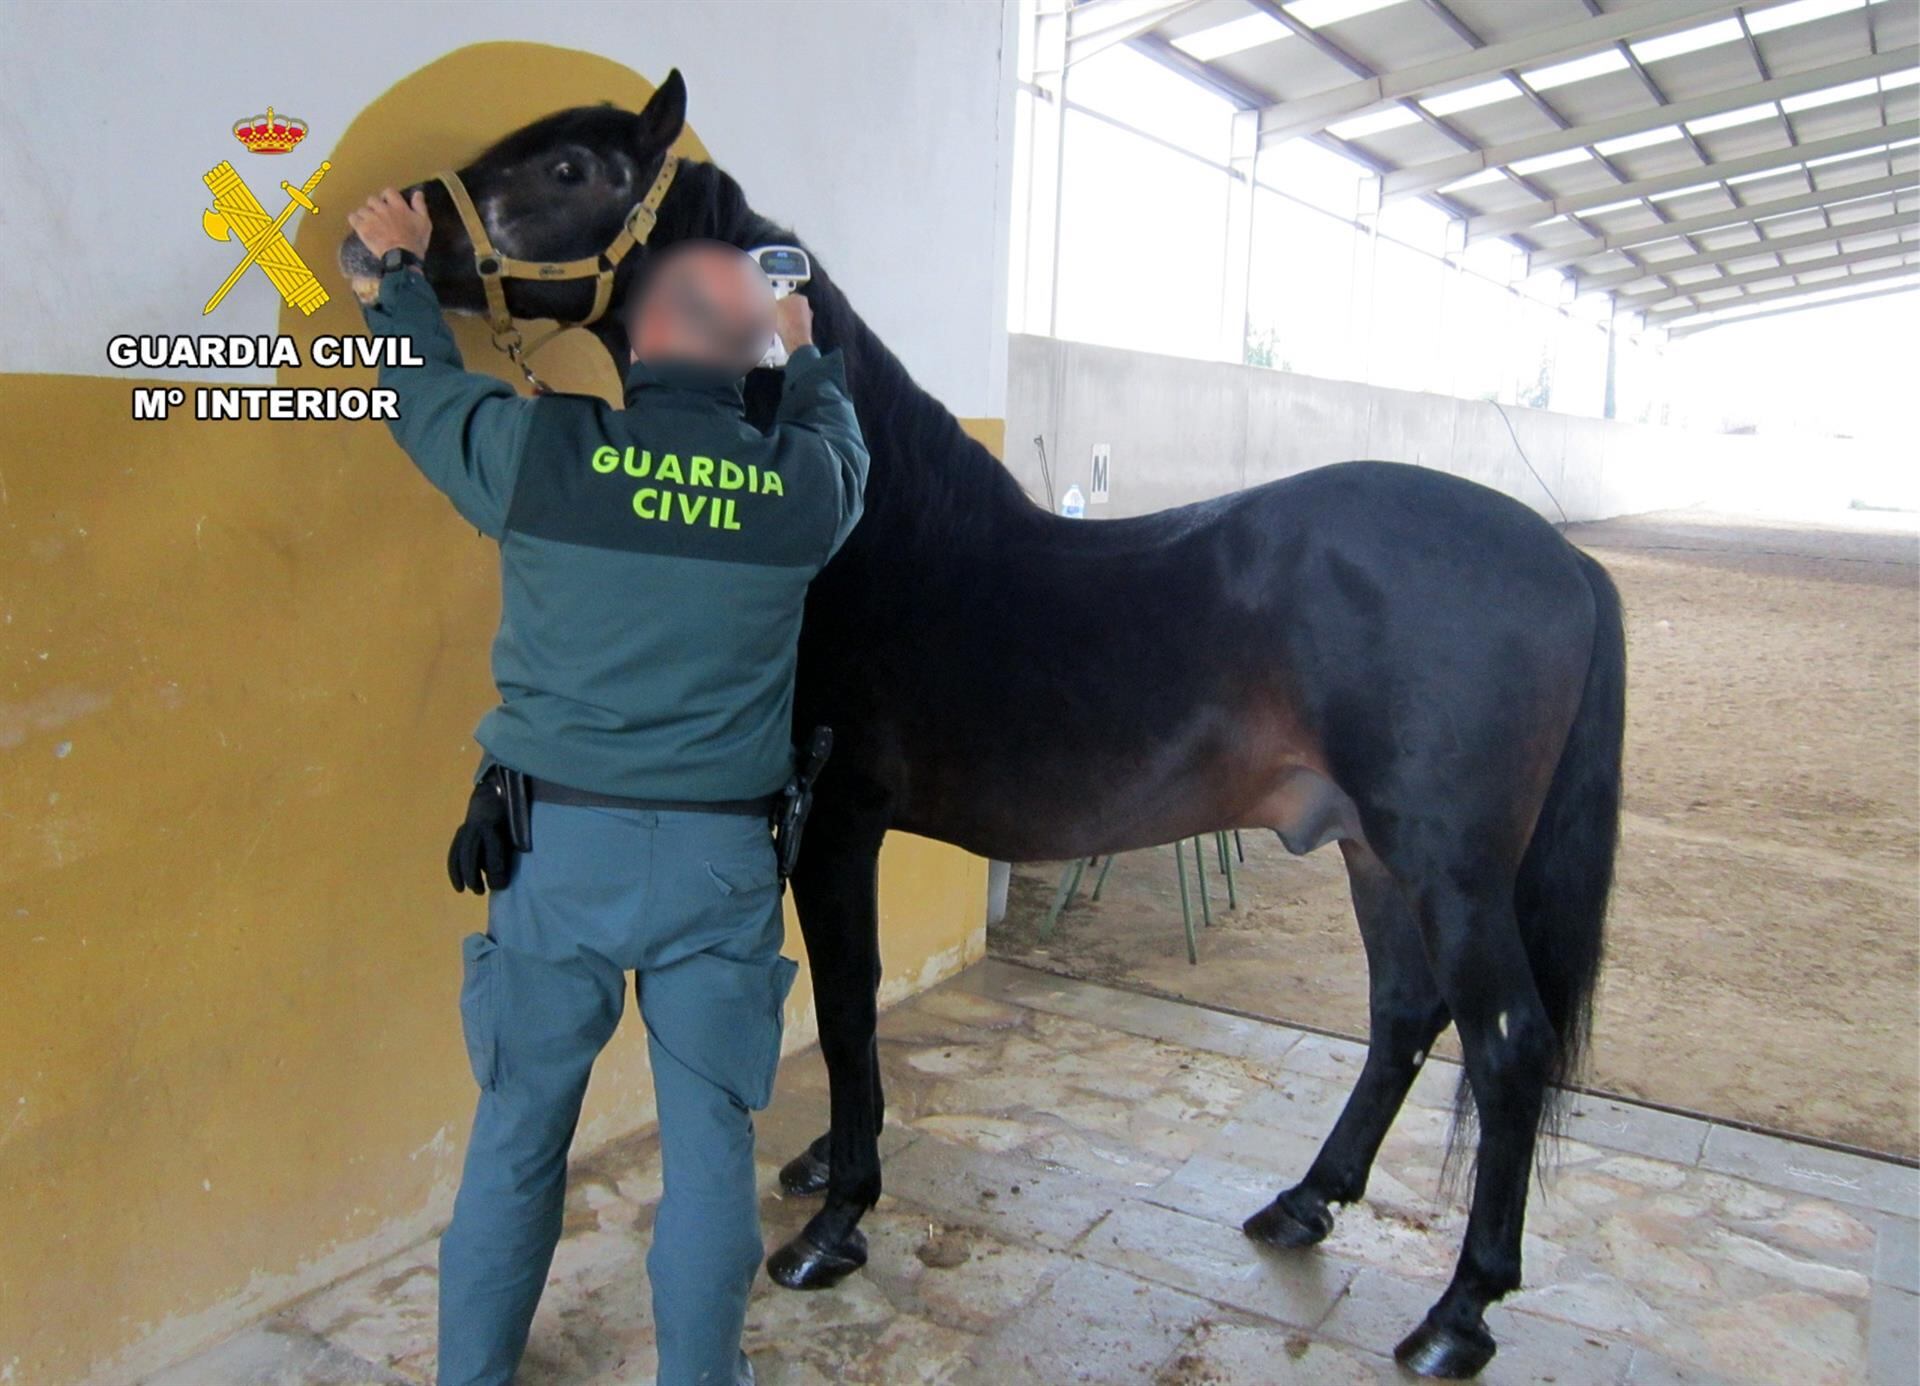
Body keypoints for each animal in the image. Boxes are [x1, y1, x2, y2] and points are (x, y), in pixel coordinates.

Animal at [341, 75, 1620, 1374]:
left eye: (567, 170)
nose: (374, 233)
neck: (869, 525)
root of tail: (1566, 560)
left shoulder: (834, 828)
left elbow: (847, 1008)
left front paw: (838, 1220)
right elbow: (833, 1005)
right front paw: (823, 1168)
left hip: (1448, 868)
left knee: (1503, 1042)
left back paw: (1457, 1313)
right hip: (1369, 850)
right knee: (1404, 1013)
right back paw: (1305, 1202)